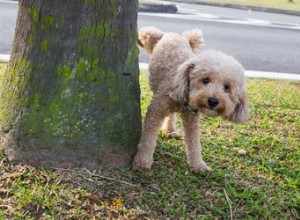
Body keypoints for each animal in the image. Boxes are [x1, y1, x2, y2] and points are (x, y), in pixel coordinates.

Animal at [134, 26, 248, 173]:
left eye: (227, 86)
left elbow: (194, 142)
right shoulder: (156, 110)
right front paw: (142, 161)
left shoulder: (191, 118)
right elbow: (148, 137)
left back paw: (169, 130)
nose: (213, 101)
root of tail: (175, 35)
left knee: (171, 115)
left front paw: (198, 164)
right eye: (205, 80)